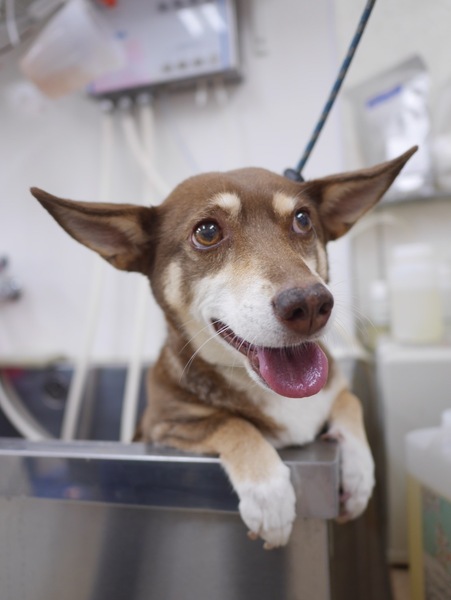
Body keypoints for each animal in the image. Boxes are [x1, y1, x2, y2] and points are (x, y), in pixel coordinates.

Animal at [31, 145, 416, 549]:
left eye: (302, 220)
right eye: (207, 231)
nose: (310, 305)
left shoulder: (336, 385)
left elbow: (349, 400)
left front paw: (359, 472)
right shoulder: (163, 427)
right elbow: (230, 423)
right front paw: (269, 493)